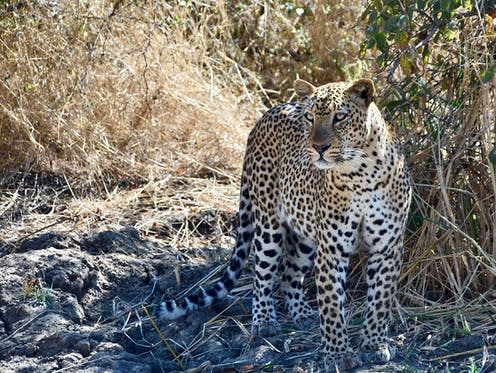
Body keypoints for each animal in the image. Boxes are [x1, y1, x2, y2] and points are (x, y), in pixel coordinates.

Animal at [158, 77, 410, 370]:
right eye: (310, 118)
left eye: (339, 117)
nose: (319, 148)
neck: (361, 175)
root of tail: (269, 112)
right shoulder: (332, 250)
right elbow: (332, 306)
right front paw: (338, 354)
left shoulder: (388, 248)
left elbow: (380, 300)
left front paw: (374, 344)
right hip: (268, 226)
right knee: (263, 276)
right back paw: (264, 321)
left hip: (303, 236)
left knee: (290, 275)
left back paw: (301, 313)